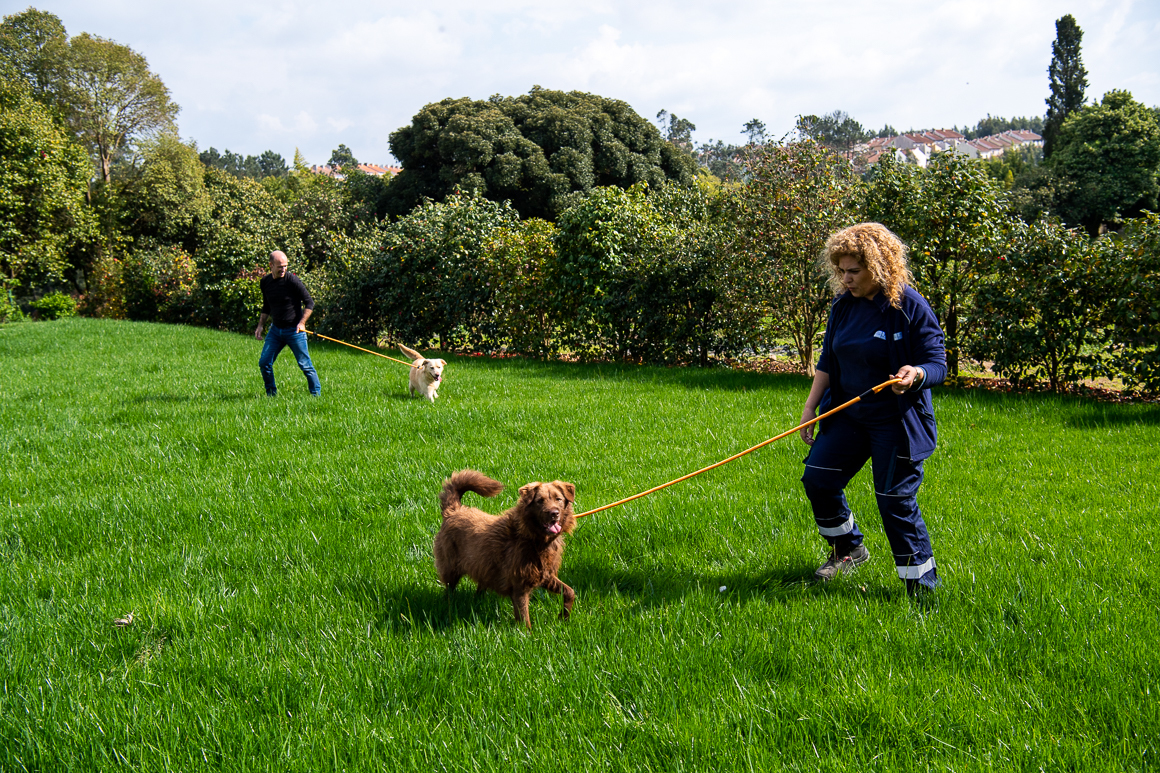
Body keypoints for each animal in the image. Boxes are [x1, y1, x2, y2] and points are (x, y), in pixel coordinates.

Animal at [433, 468, 577, 626]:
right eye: (540, 501)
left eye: (558, 499)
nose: (554, 514)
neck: (532, 539)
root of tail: (453, 510)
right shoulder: (519, 586)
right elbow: (524, 618)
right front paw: (527, 632)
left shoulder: (545, 575)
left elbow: (570, 592)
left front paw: (564, 617)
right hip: (451, 568)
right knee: (449, 590)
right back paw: (448, 607)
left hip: (483, 566)